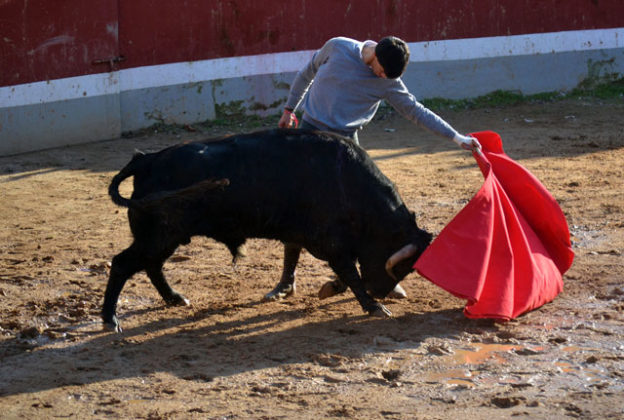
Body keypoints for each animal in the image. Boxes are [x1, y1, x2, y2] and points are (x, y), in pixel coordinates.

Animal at [103, 128, 434, 332]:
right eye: (401, 264)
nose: (382, 291)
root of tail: (146, 159)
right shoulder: (333, 243)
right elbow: (351, 273)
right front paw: (373, 305)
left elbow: (348, 273)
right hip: (159, 236)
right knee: (123, 264)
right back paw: (110, 319)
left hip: (163, 237)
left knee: (151, 266)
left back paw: (174, 298)